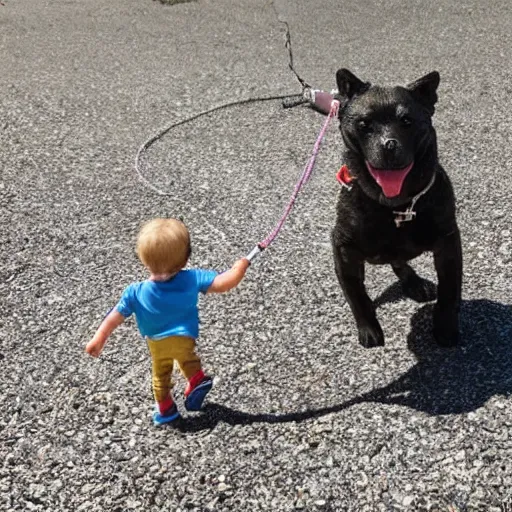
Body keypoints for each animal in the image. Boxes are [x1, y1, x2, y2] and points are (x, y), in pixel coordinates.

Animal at [334, 69, 462, 348]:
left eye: (407, 121)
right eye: (364, 124)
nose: (389, 144)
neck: (396, 205)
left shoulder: (448, 242)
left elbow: (450, 291)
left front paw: (445, 327)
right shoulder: (343, 248)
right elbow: (356, 295)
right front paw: (369, 329)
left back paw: (416, 284)